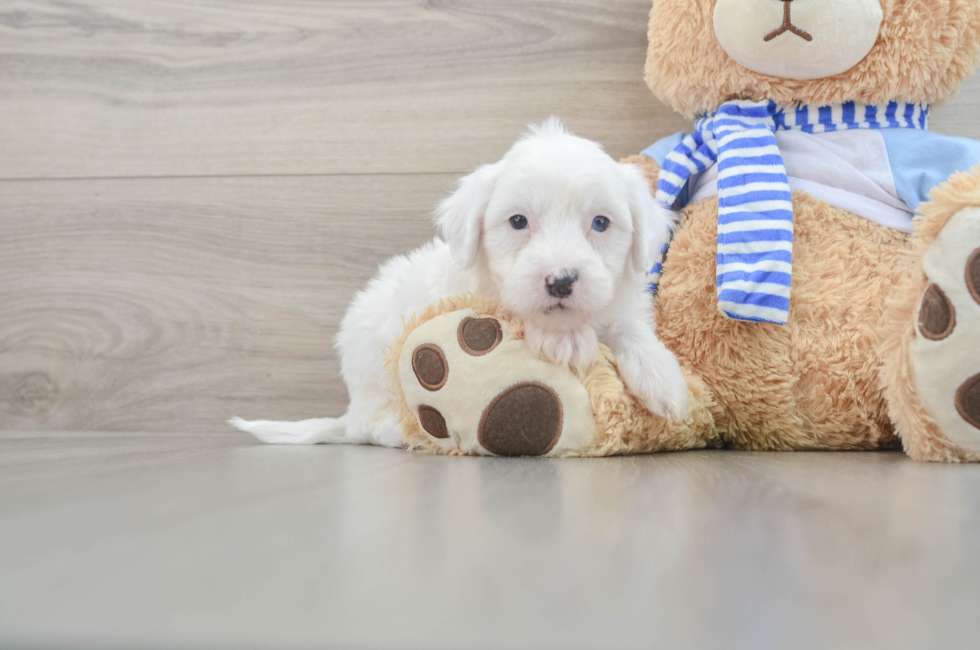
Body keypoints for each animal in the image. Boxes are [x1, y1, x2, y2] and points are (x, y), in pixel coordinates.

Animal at [233, 117, 684, 446]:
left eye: (601, 223)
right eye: (518, 221)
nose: (560, 281)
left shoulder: (618, 302)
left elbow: (630, 328)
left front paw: (664, 378)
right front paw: (565, 340)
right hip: (371, 359)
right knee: (370, 425)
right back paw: (402, 431)